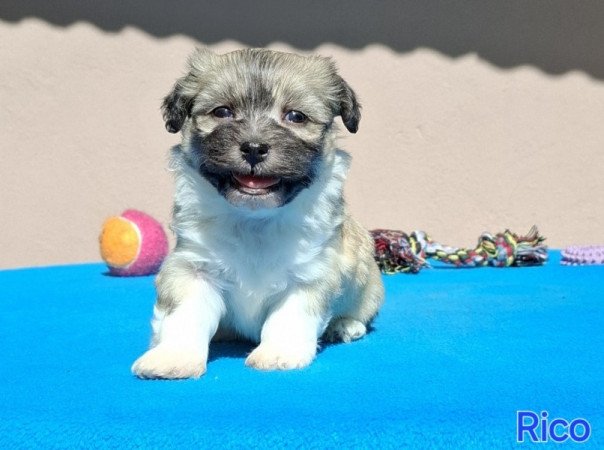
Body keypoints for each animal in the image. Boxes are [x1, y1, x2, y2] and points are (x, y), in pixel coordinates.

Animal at [133, 48, 386, 380]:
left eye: (295, 116)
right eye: (222, 112)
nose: (253, 147)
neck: (254, 219)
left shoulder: (311, 273)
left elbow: (289, 317)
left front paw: (278, 353)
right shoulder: (193, 267)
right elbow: (184, 314)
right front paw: (173, 356)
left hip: (367, 282)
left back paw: (345, 325)